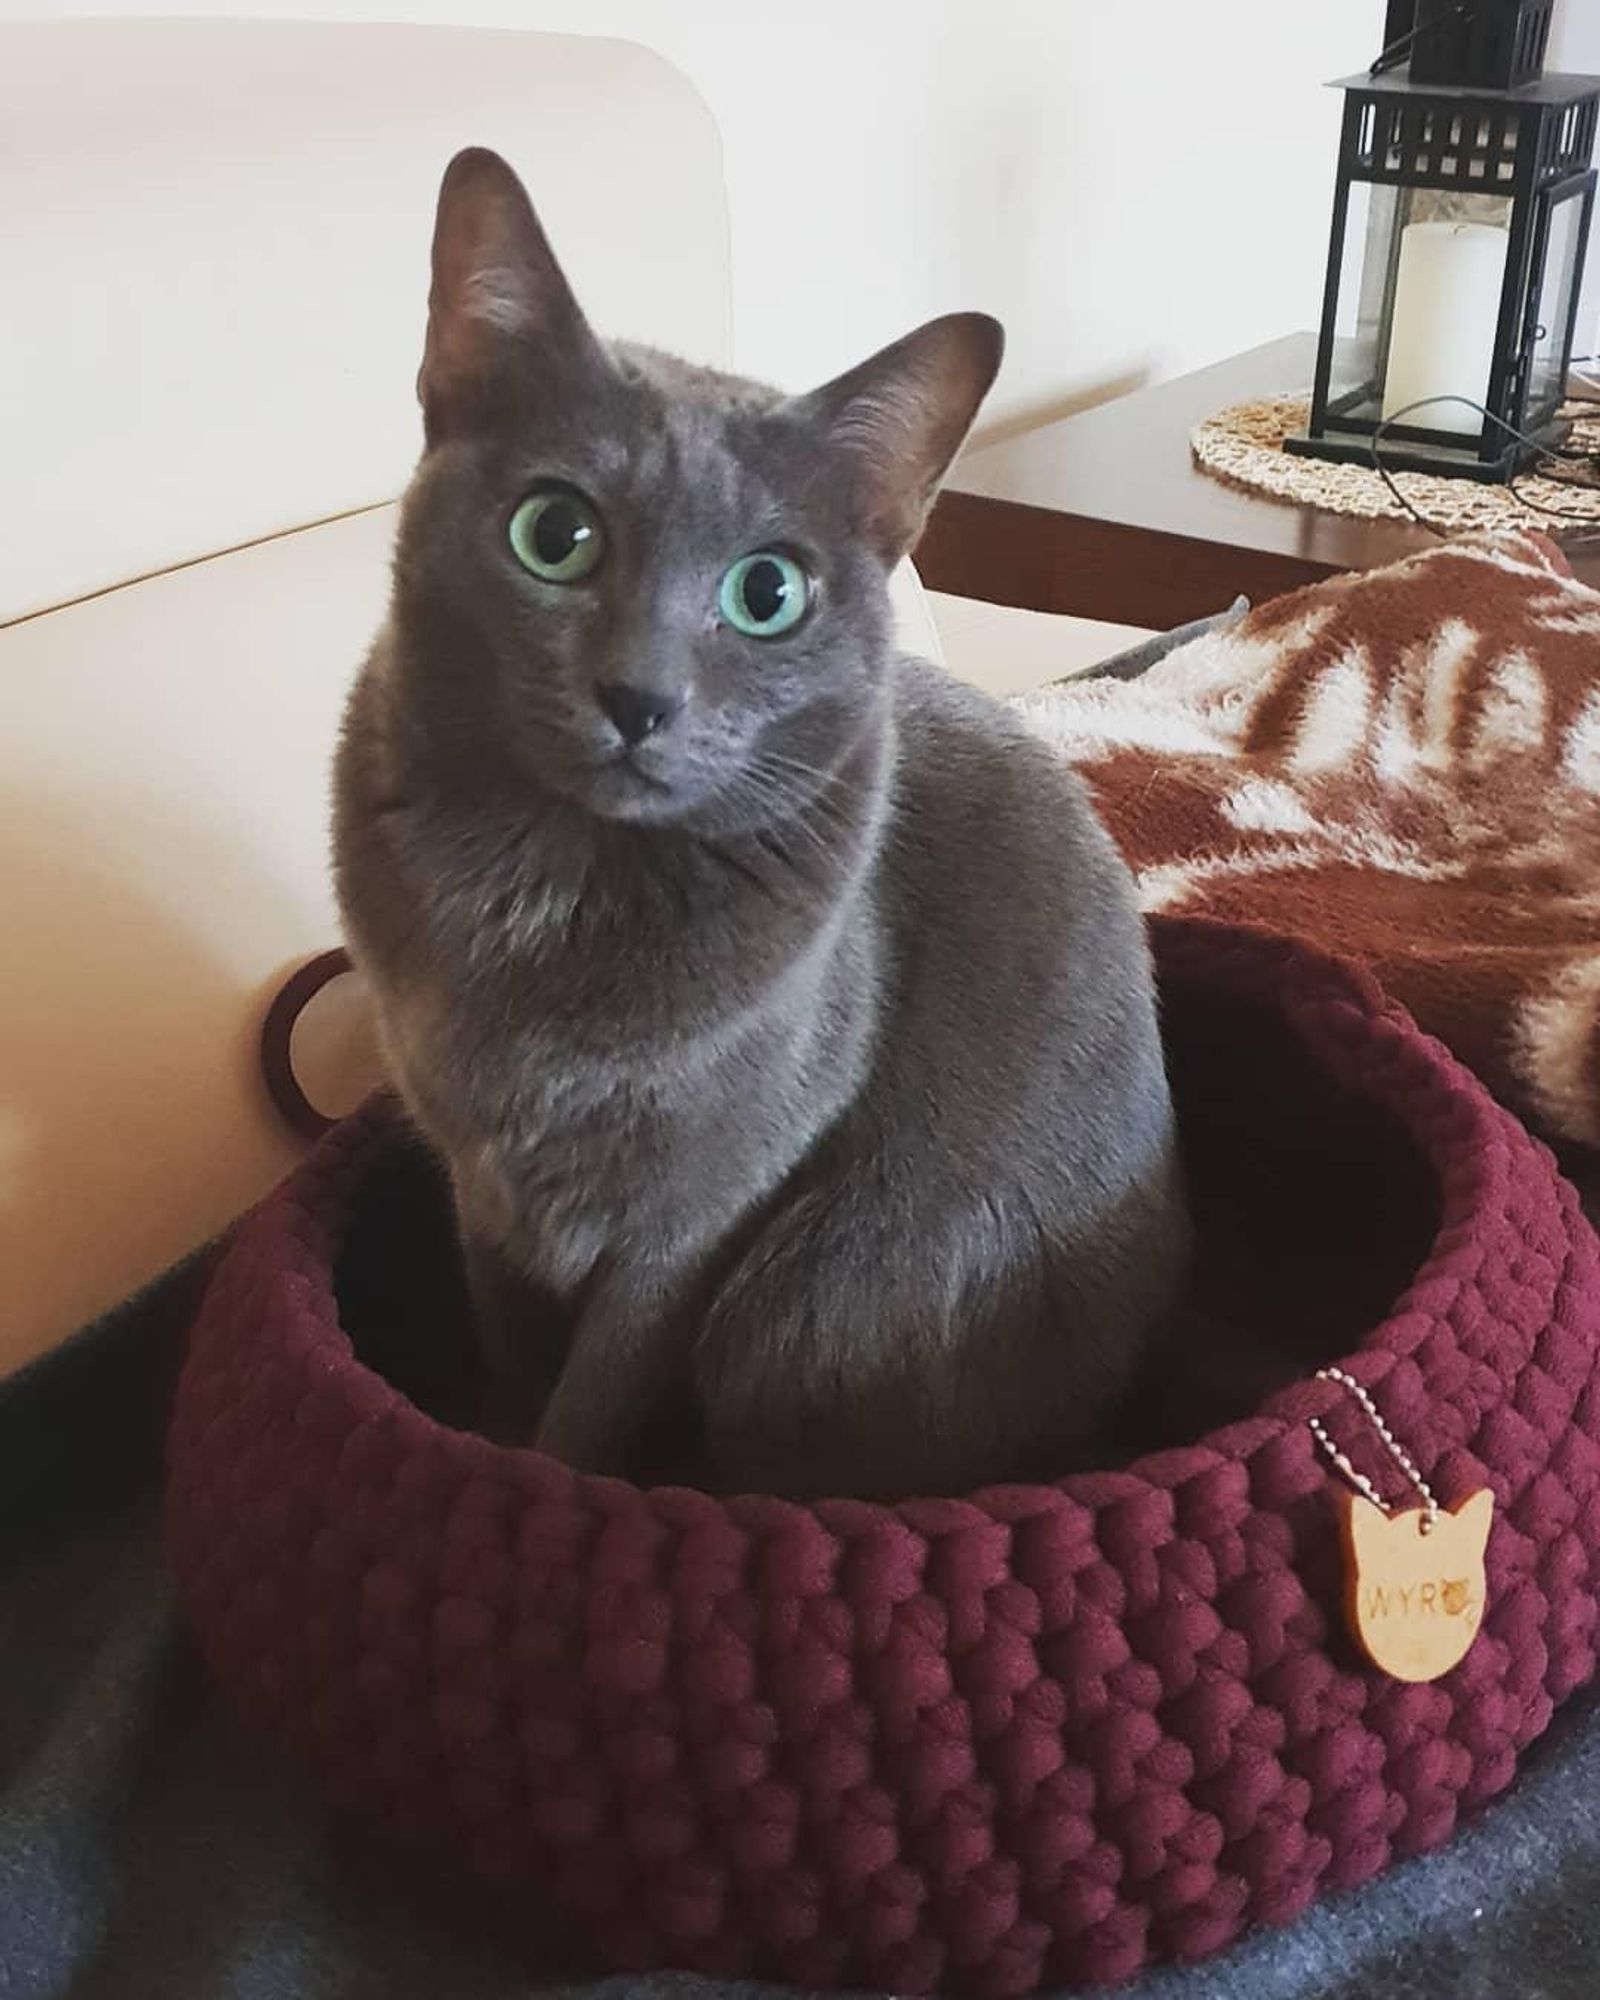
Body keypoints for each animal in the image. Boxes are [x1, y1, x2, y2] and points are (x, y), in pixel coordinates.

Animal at [334, 148, 1184, 1504]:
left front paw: (551, 1480)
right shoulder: (475, 1178)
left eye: (767, 592)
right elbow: (507, 1345)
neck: (550, 888)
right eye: (552, 533)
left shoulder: (698, 1218)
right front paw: (479, 1447)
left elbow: (590, 1401)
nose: (639, 695)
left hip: (810, 1295)